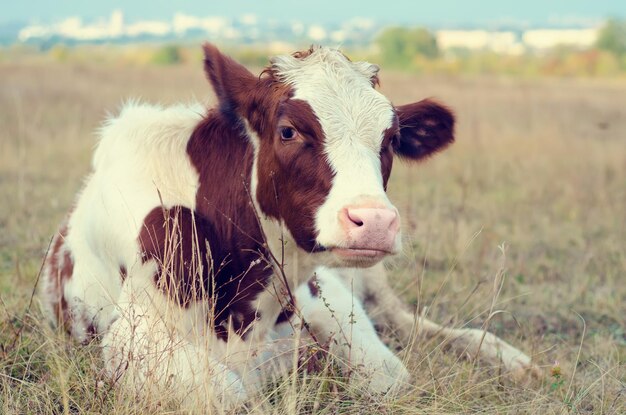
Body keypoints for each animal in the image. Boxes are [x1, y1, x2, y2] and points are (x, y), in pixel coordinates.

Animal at [41, 43, 532, 410]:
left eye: (391, 139)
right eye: (289, 131)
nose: (374, 221)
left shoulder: (322, 292)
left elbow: (387, 375)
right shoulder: (129, 340)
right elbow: (227, 392)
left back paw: (506, 356)